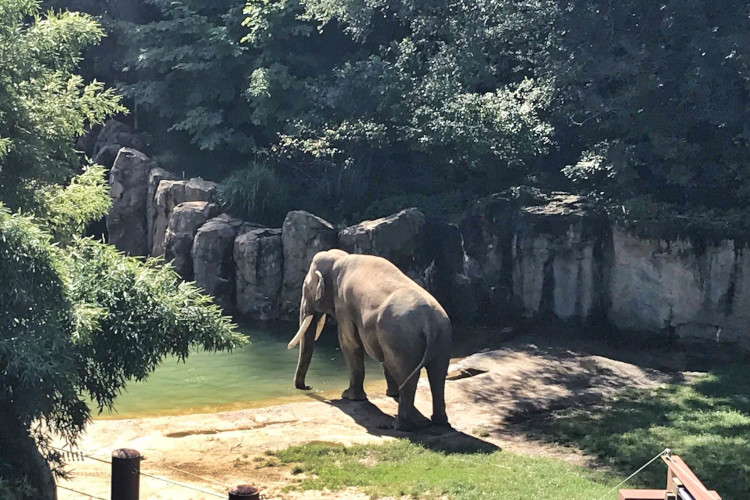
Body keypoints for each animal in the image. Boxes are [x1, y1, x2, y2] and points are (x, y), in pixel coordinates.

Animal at [287, 249, 452, 431]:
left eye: (307, 288)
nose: (308, 386)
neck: (341, 258)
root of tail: (429, 321)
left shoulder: (343, 305)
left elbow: (349, 343)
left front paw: (349, 396)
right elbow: (382, 358)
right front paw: (390, 394)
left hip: (402, 339)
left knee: (406, 374)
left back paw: (401, 425)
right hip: (441, 337)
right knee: (437, 375)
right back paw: (438, 422)